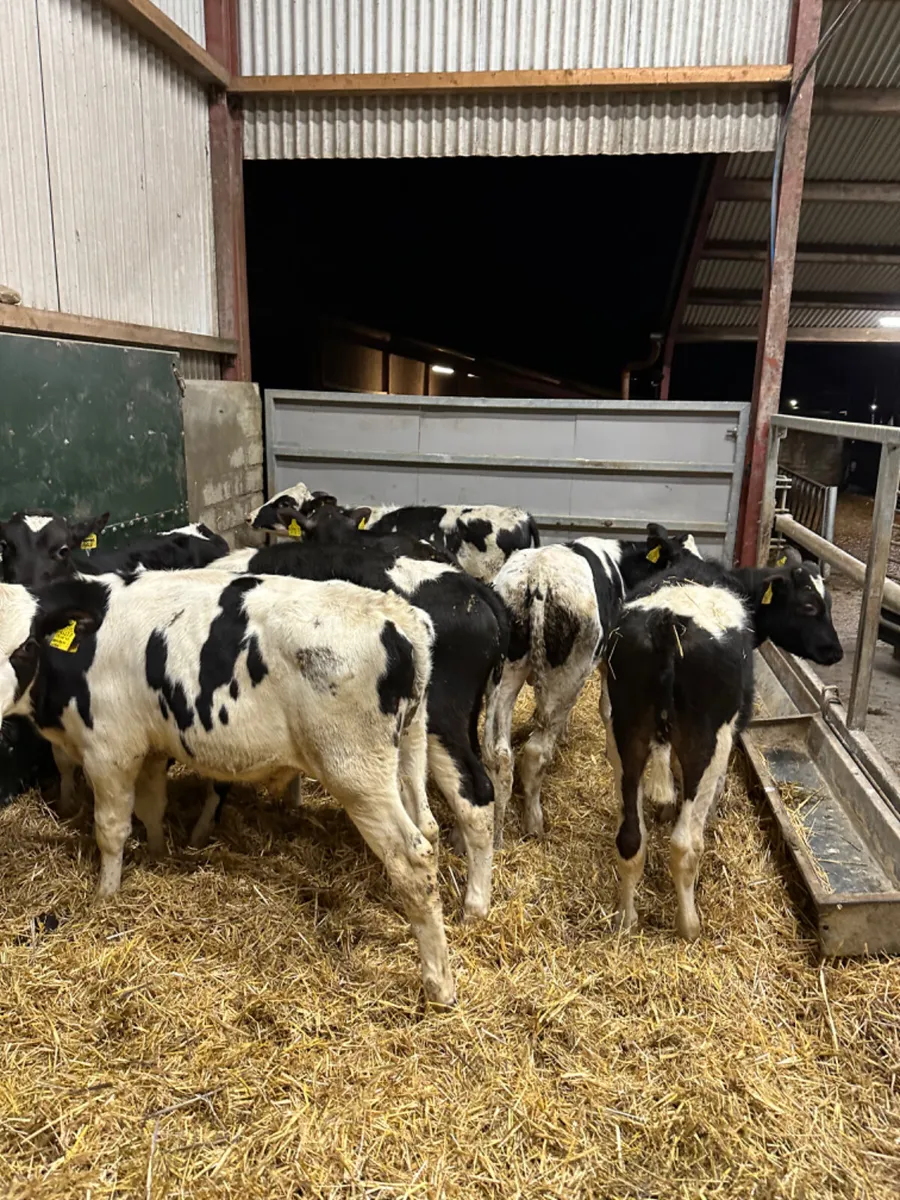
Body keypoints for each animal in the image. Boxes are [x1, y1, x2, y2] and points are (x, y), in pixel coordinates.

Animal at [0, 568, 455, 1005]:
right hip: (410, 745)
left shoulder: (110, 750)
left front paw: (105, 897)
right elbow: (152, 809)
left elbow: (111, 831)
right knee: (429, 829)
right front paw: (158, 855)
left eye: (24, 647)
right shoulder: (150, 746)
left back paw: (439, 986)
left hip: (357, 773)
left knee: (412, 856)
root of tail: (395, 614)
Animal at [483, 526, 700, 848]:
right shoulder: (609, 663)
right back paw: (534, 822)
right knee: (535, 753)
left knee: (499, 755)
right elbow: (607, 708)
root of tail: (537, 577)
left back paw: (495, 834)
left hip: (508, 676)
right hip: (568, 676)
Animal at [604, 548, 842, 942]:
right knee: (685, 844)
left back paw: (626, 918)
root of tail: (669, 622)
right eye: (809, 605)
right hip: (707, 740)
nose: (835, 652)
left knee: (630, 839)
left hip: (626, 730)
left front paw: (665, 808)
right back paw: (689, 926)